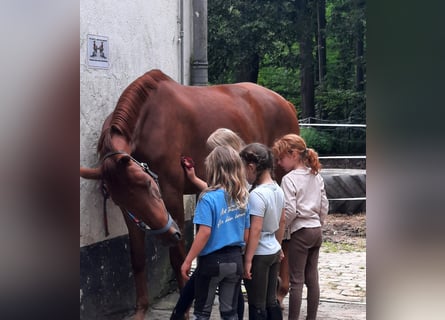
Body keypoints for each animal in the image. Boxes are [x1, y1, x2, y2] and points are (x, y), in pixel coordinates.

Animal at [80, 69, 298, 318]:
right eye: (121, 199)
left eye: (148, 184)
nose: (168, 235)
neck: (148, 122)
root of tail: (285, 103)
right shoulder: (130, 214)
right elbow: (137, 258)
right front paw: (141, 309)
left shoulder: (172, 193)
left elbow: (178, 257)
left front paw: (184, 308)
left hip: (279, 180)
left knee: (285, 235)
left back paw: (280, 292)